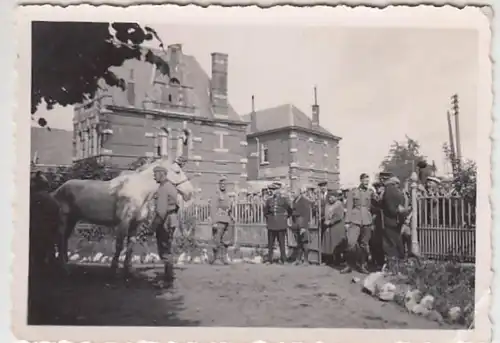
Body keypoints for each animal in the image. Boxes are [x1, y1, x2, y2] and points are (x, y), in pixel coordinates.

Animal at [50, 157, 194, 274]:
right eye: (177, 171)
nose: (190, 193)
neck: (139, 190)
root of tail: (57, 191)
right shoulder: (124, 222)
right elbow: (119, 245)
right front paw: (114, 267)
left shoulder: (135, 224)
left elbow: (130, 245)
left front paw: (128, 268)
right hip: (64, 219)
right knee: (60, 237)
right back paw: (63, 266)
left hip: (72, 220)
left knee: (64, 238)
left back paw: (63, 262)